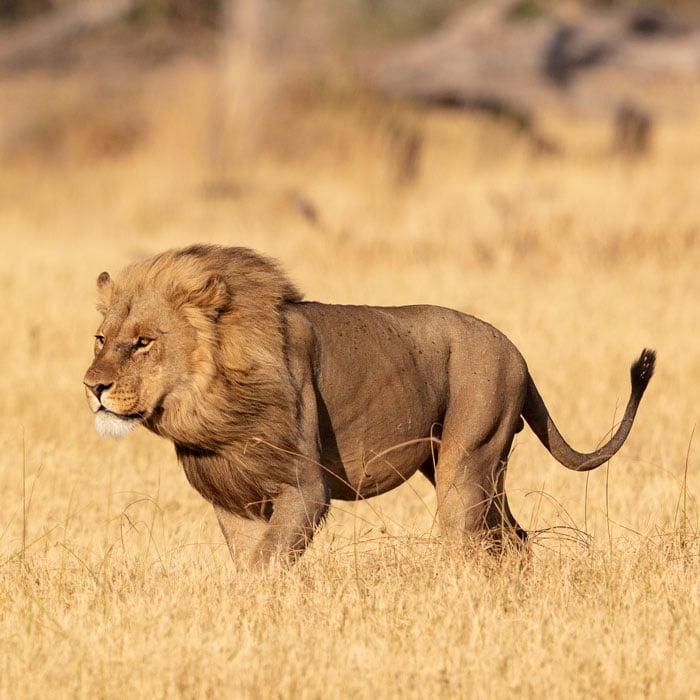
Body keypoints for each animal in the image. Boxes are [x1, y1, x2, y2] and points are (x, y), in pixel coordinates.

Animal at [83, 245, 656, 564]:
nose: (93, 386)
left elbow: (266, 566)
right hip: (468, 471)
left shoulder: (306, 491)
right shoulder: (233, 500)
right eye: (101, 338)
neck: (212, 407)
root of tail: (516, 352)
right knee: (513, 539)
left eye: (143, 342)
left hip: (468, 464)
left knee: (472, 545)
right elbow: (249, 565)